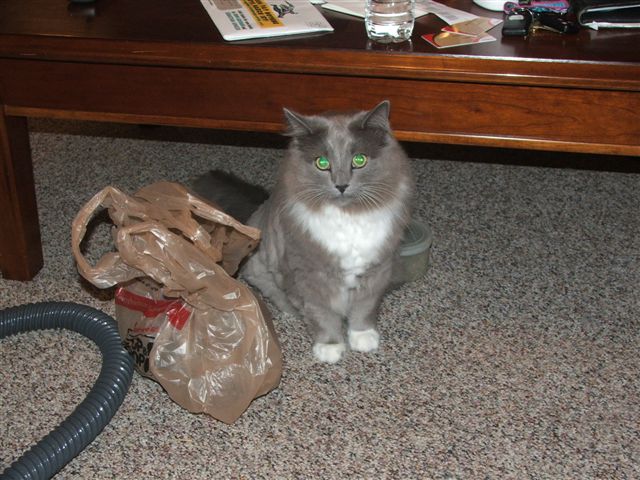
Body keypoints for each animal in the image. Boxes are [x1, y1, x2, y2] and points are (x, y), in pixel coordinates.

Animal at [192, 101, 415, 363]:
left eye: (359, 159)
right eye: (322, 163)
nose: (341, 185)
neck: (348, 217)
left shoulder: (377, 270)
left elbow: (364, 308)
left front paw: (362, 338)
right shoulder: (308, 273)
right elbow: (323, 313)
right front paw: (330, 348)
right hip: (261, 269)